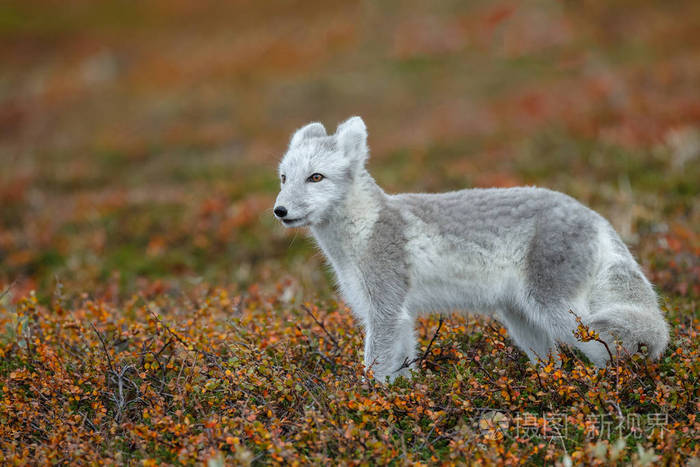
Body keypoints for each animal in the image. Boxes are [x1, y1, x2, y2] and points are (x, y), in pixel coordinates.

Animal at [272, 116, 668, 384]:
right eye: (284, 178)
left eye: (316, 177)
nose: (279, 210)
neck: (364, 229)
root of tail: (594, 214)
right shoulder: (399, 315)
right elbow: (403, 369)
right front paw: (404, 401)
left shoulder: (384, 311)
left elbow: (376, 369)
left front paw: (368, 406)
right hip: (521, 319)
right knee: (553, 362)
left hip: (559, 312)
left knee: (607, 351)